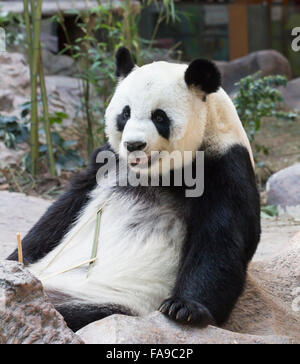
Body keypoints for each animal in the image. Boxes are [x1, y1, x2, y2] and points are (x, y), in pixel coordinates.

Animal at [6, 47, 260, 332]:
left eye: (159, 117)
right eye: (125, 114)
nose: (134, 144)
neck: (158, 173)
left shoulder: (224, 164)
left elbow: (220, 239)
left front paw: (185, 308)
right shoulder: (107, 160)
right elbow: (62, 211)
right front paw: (15, 260)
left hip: (104, 299)